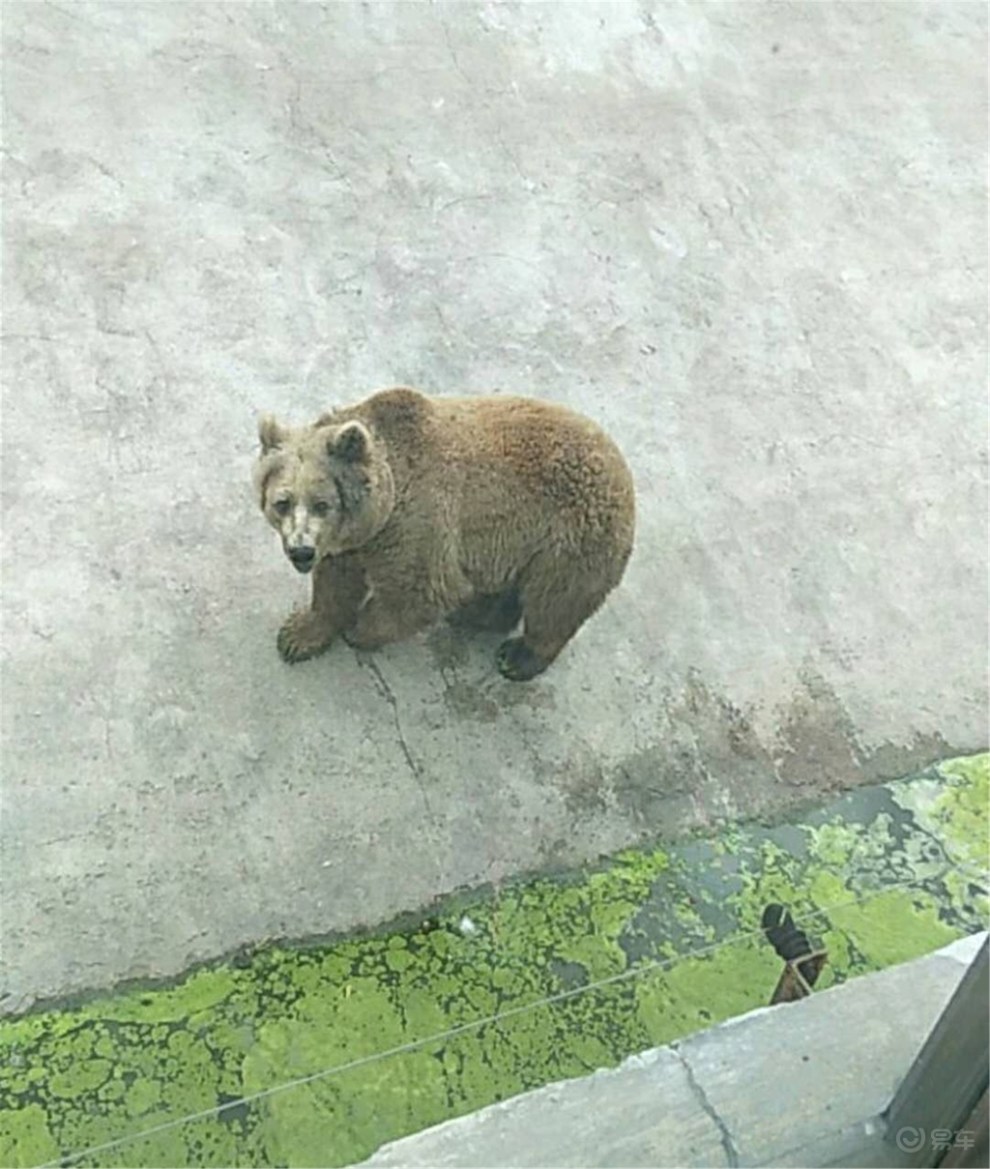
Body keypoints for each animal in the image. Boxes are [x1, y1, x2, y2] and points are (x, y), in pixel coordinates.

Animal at [253, 388, 635, 682]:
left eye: (322, 504)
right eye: (282, 502)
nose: (301, 551)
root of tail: (621, 466)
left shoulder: (419, 525)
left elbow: (420, 591)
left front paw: (360, 629)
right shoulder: (352, 544)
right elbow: (335, 584)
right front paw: (298, 635)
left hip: (571, 536)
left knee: (555, 601)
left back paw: (517, 657)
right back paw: (478, 614)